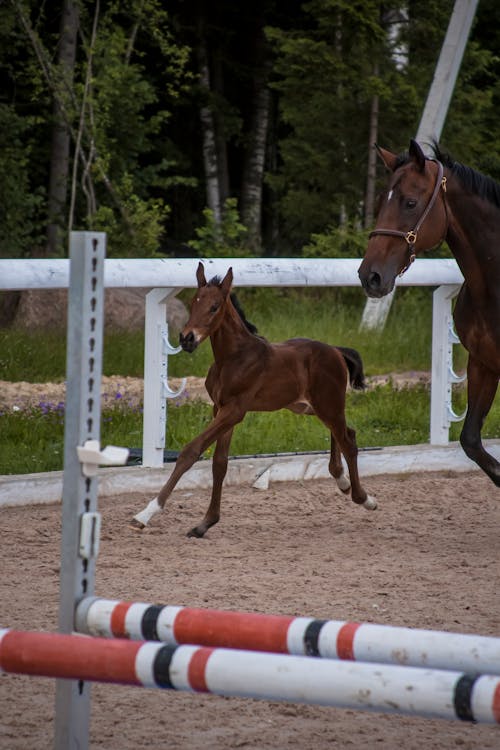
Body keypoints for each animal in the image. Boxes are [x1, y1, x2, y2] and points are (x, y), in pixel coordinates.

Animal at [133, 262, 376, 536]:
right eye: (193, 303)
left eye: (214, 306)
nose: (187, 338)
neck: (233, 357)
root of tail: (336, 350)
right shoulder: (220, 409)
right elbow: (219, 463)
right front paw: (205, 523)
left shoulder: (235, 410)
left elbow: (191, 451)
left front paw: (145, 514)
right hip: (308, 406)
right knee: (347, 432)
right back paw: (342, 480)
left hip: (328, 404)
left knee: (348, 440)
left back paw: (363, 498)